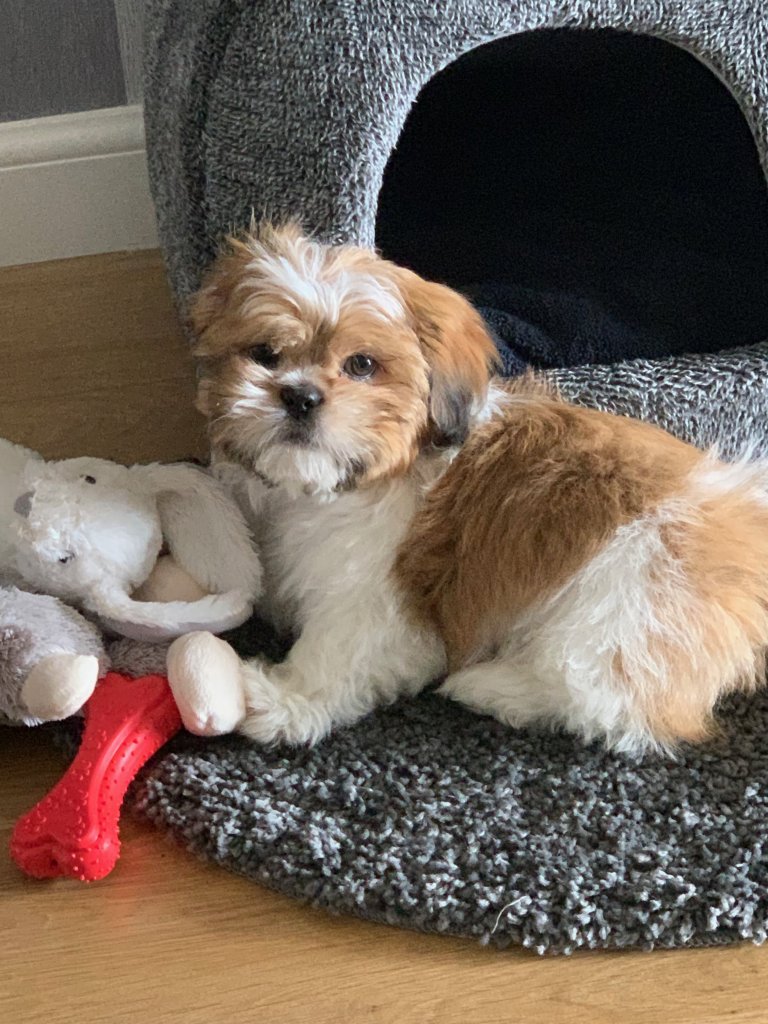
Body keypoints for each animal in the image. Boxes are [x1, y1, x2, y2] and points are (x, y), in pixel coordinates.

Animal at [170, 222, 768, 754]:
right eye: (265, 353)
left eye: (361, 365)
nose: (300, 396)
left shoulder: (375, 592)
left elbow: (341, 647)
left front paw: (283, 700)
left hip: (629, 593)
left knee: (606, 698)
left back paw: (496, 687)